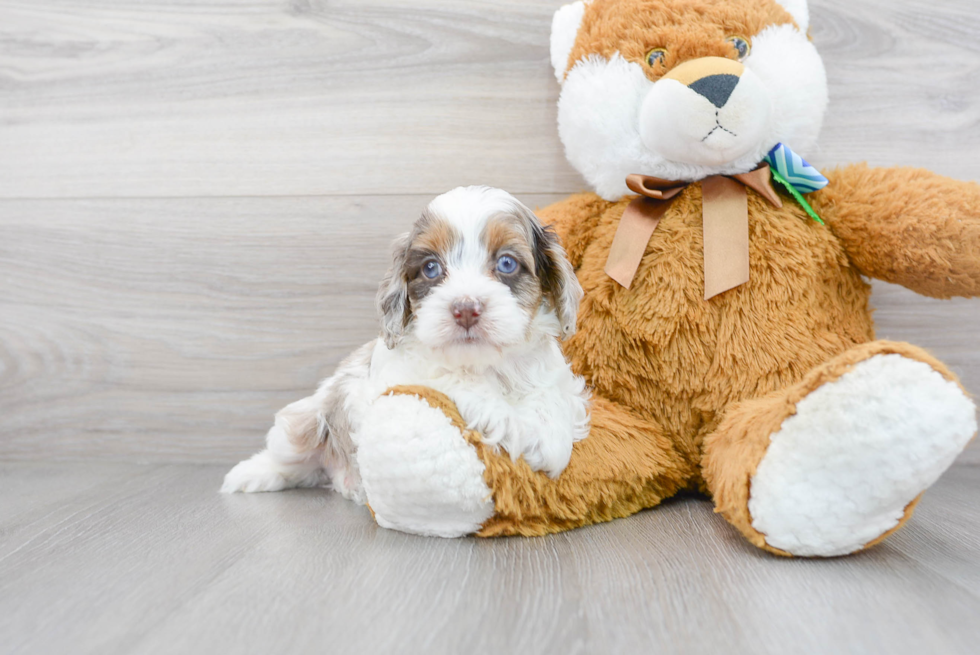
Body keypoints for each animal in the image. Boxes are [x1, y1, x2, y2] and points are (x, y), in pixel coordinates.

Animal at [222, 186, 588, 502]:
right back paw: (251, 474)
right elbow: (452, 379)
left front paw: (550, 440)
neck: (487, 363)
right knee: (291, 460)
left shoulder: (553, 373)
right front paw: (508, 420)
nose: (465, 309)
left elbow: (552, 394)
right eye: (431, 268)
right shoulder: (401, 373)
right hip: (303, 421)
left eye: (507, 263)